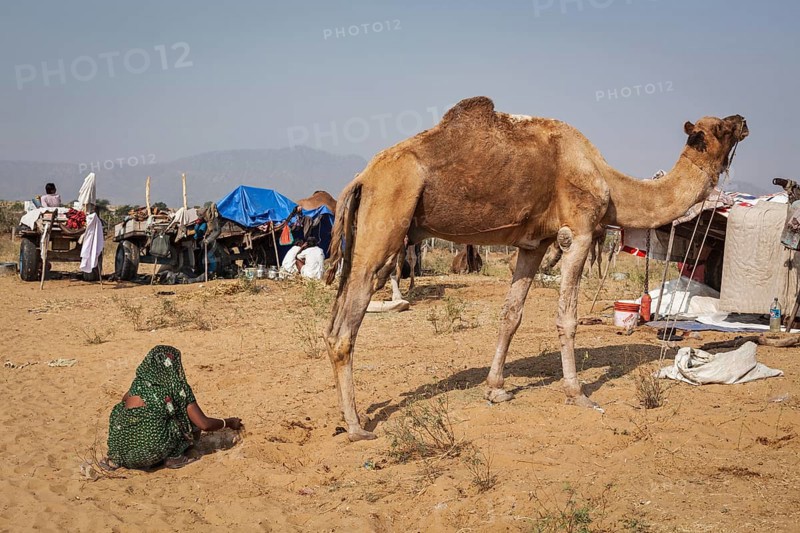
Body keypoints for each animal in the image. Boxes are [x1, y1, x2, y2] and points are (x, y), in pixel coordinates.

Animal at [324, 96, 748, 441]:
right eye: (721, 129)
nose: (743, 119)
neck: (609, 183)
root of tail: (362, 177)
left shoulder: (534, 243)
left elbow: (511, 314)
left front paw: (495, 388)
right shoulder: (578, 232)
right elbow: (567, 318)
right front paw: (578, 394)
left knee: (335, 318)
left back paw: (349, 417)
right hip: (388, 216)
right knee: (348, 324)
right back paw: (357, 425)